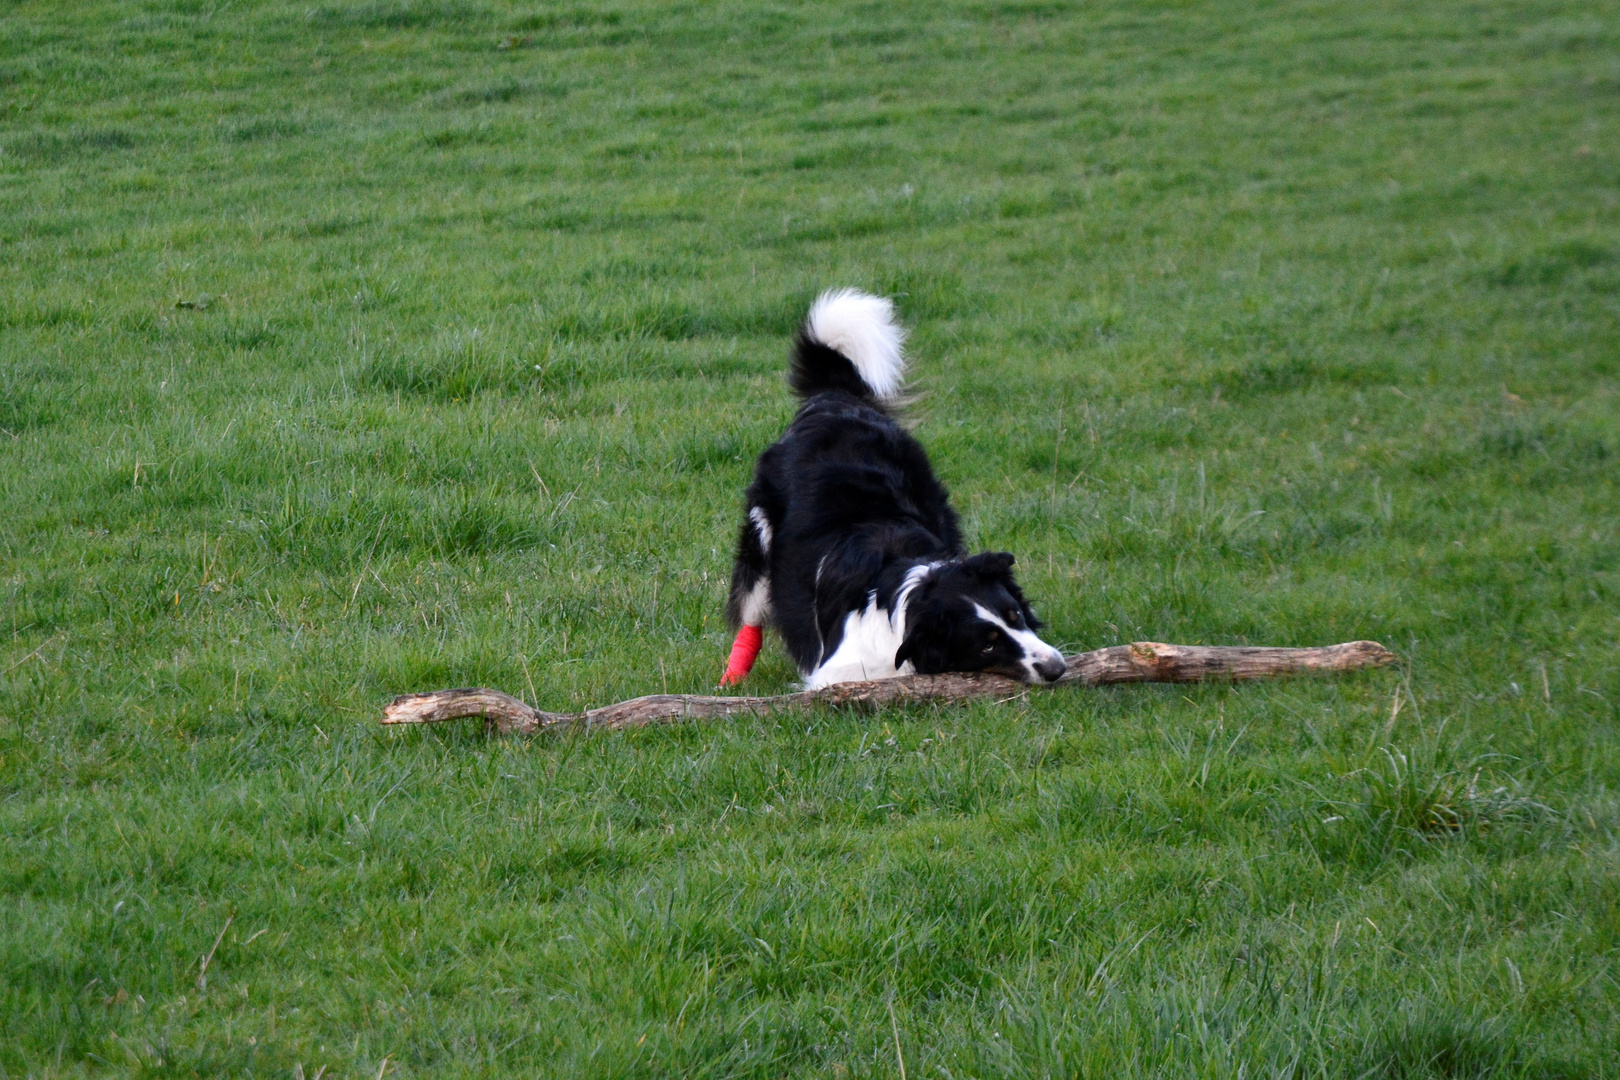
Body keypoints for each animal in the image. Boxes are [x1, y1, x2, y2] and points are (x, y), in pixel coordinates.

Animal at [722, 291, 1062, 689]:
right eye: (987, 645)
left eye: (1015, 615)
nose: (1058, 668)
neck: (911, 599)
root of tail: (832, 399)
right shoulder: (837, 668)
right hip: (760, 540)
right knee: (752, 611)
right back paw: (731, 678)